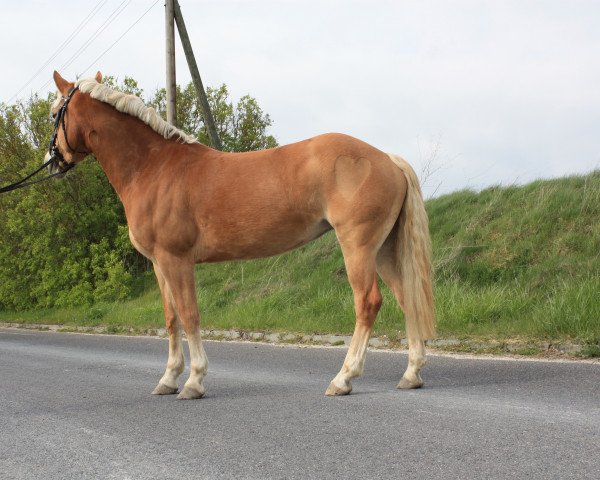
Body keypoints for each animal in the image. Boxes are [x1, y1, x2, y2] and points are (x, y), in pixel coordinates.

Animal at [44, 71, 434, 400]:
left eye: (52, 115)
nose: (54, 162)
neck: (153, 167)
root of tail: (387, 158)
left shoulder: (176, 259)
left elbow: (190, 315)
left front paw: (194, 381)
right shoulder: (159, 264)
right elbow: (171, 319)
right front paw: (168, 379)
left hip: (358, 245)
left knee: (368, 302)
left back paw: (344, 378)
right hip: (384, 250)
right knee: (406, 298)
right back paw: (411, 374)